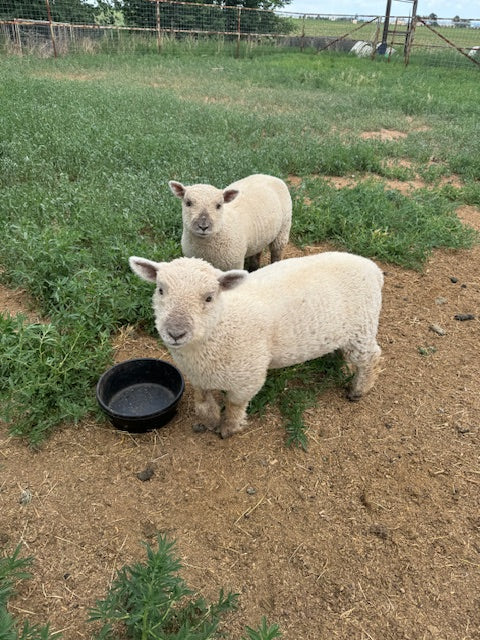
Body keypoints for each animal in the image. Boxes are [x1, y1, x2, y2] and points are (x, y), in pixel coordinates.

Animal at [129, 252, 384, 438]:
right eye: (160, 290)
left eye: (209, 297)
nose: (175, 333)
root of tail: (373, 268)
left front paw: (228, 429)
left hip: (361, 329)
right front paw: (210, 420)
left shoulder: (247, 376)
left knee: (371, 357)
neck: (222, 325)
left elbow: (234, 405)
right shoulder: (198, 376)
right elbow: (202, 402)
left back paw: (359, 389)